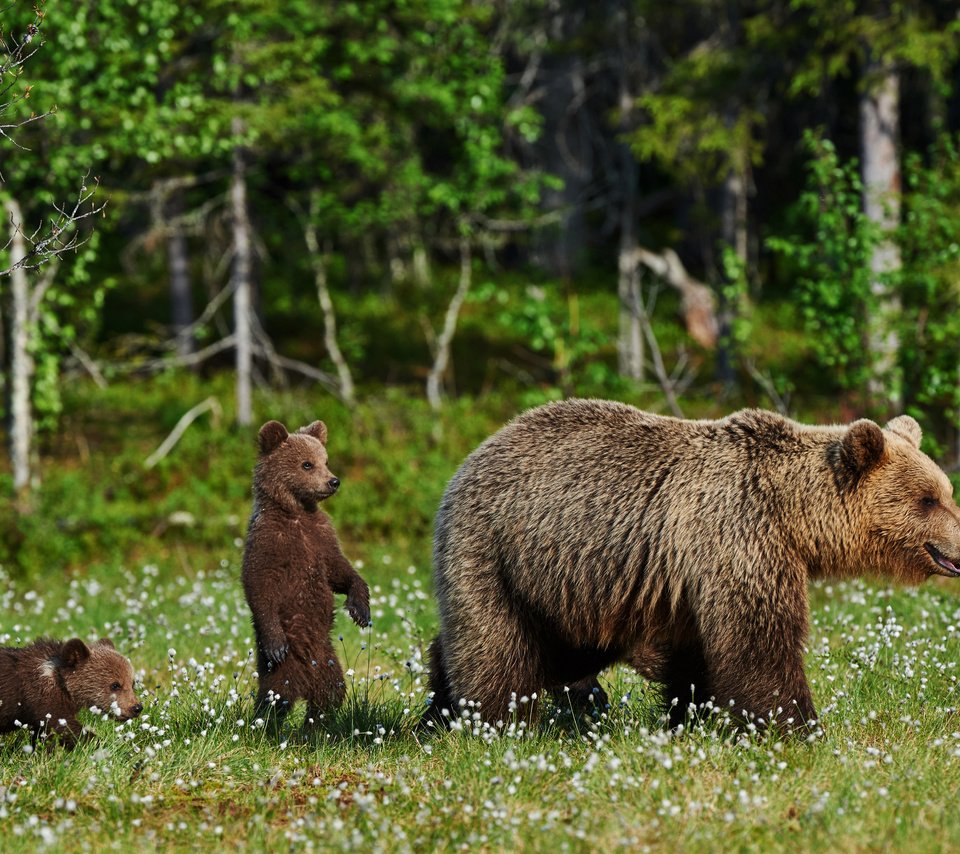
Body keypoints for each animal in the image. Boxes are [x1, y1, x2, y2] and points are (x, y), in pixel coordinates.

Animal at [242, 418, 370, 724]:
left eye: (326, 460)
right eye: (307, 464)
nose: (333, 481)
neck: (297, 513)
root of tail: (305, 682)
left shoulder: (320, 537)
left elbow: (339, 571)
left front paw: (360, 608)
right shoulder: (269, 542)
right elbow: (258, 584)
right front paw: (276, 642)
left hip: (328, 660)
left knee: (331, 693)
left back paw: (314, 724)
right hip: (285, 666)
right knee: (276, 696)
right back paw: (266, 724)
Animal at [426, 400, 960, 728]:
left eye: (945, 492)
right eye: (928, 499)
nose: (959, 544)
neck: (792, 515)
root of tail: (473, 454)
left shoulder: (688, 575)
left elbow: (698, 652)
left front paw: (696, 717)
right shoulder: (738, 534)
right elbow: (759, 641)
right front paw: (797, 727)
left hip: (566, 587)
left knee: (557, 650)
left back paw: (437, 710)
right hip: (497, 551)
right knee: (497, 646)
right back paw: (490, 721)